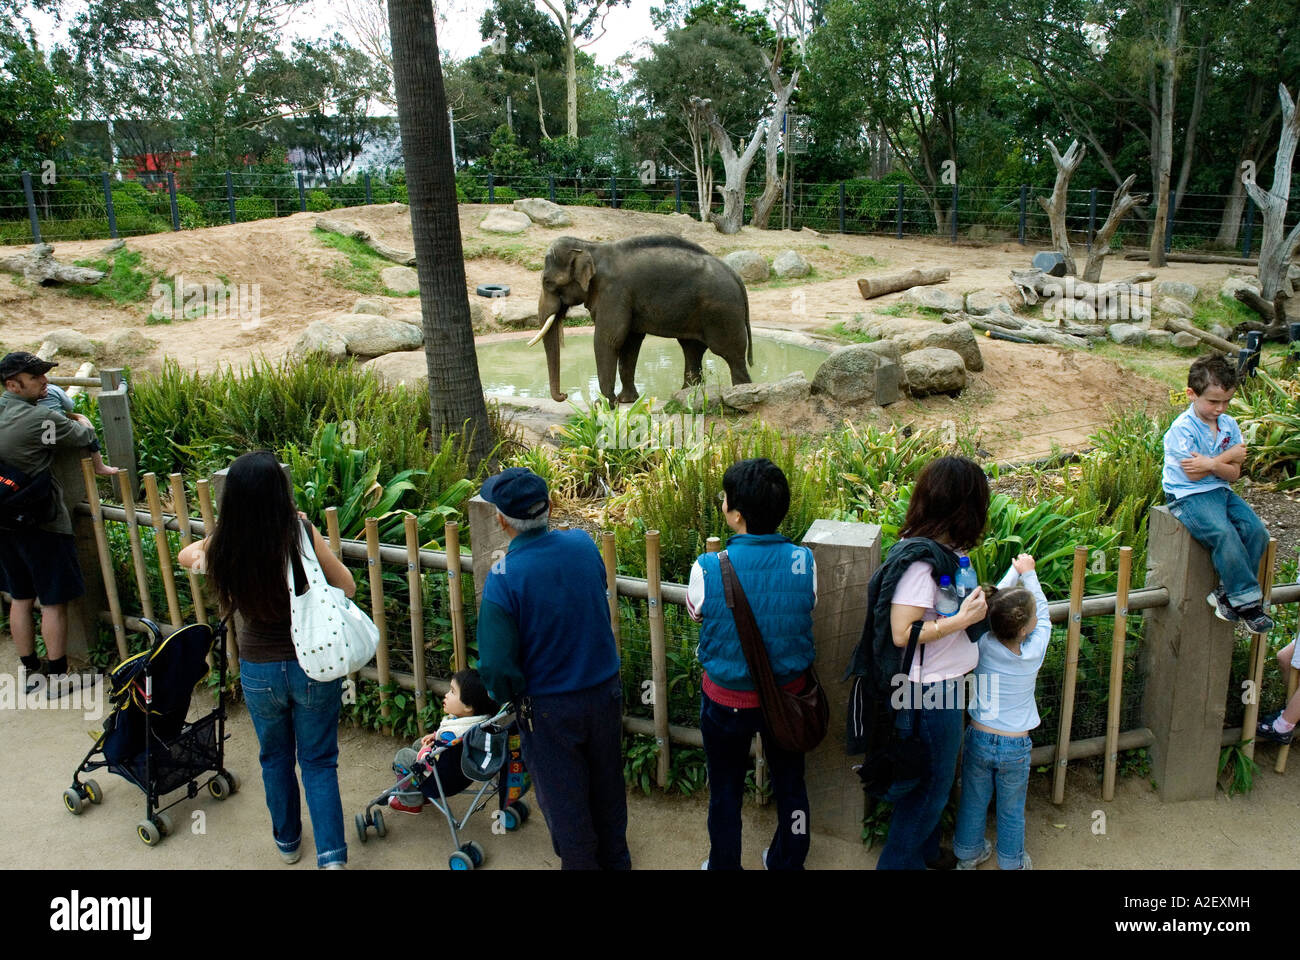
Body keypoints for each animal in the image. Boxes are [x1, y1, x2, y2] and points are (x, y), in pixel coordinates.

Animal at [529, 234, 752, 404]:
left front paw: (603, 404)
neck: (590, 247)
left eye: (547, 282)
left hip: (723, 312)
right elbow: (630, 342)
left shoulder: (614, 292)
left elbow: (609, 339)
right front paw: (626, 401)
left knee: (731, 354)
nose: (564, 395)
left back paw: (741, 393)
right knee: (692, 350)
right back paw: (686, 396)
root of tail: (737, 277)